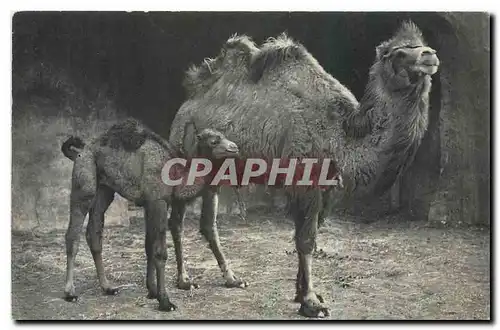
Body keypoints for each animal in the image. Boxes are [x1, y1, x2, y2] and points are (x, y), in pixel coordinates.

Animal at [59, 118, 239, 312]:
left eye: (224, 136)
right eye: (214, 141)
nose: (234, 147)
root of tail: (81, 149)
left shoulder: (149, 204)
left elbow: (149, 246)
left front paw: (152, 290)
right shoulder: (157, 201)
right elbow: (160, 252)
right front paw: (165, 301)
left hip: (104, 190)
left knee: (94, 232)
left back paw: (108, 287)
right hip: (84, 179)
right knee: (73, 233)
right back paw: (70, 292)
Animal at [169, 21, 442, 318]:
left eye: (421, 45)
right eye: (399, 53)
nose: (430, 56)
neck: (340, 135)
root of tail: (184, 107)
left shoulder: (326, 190)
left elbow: (306, 235)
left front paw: (302, 294)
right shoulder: (305, 181)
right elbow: (306, 240)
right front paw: (312, 303)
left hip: (215, 173)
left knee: (208, 224)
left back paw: (232, 278)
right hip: (186, 159)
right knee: (177, 220)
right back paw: (184, 281)